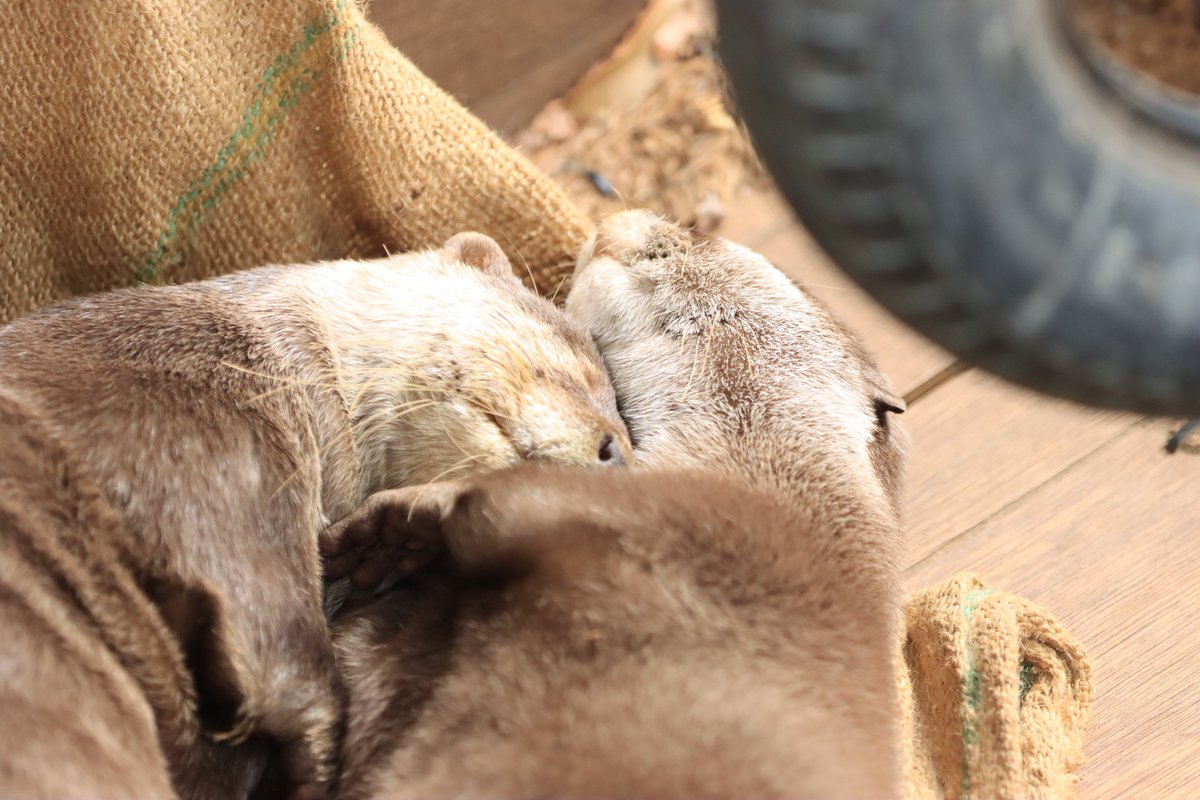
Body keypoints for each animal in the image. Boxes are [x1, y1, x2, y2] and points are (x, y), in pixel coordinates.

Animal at [324, 211, 902, 800]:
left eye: (699, 235)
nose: (629, 216)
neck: (777, 496)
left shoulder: (680, 513)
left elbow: (524, 496)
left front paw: (397, 526)